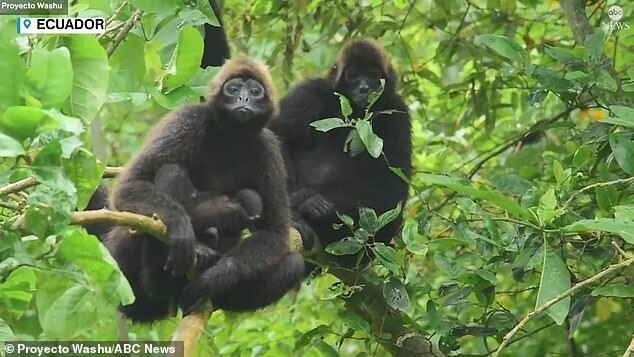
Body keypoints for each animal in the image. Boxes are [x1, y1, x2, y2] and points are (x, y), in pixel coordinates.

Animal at [103, 58, 304, 320]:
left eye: (254, 92)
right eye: (233, 89)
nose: (243, 99)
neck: (230, 138)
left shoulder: (267, 147)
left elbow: (275, 232)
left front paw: (214, 278)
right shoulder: (189, 119)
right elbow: (130, 185)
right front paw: (182, 228)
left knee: (293, 264)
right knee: (171, 171)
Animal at [270, 38, 412, 262]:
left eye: (372, 75)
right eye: (353, 76)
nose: (363, 88)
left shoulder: (398, 112)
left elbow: (393, 187)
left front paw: (311, 202)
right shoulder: (312, 90)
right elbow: (273, 134)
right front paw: (300, 204)